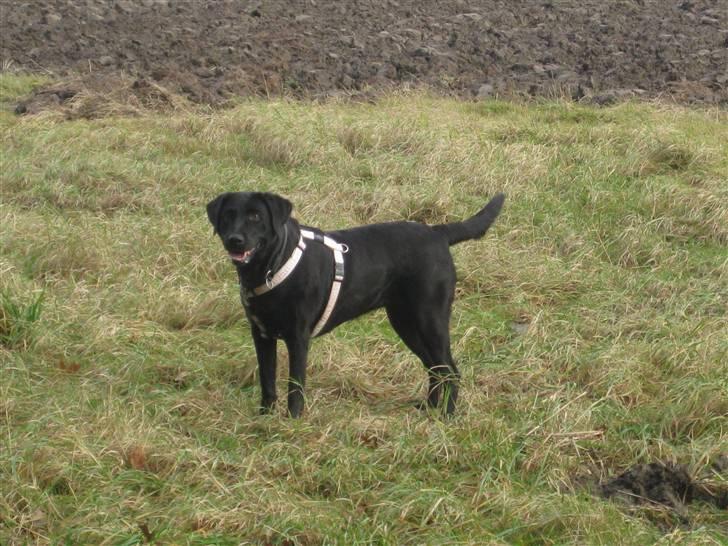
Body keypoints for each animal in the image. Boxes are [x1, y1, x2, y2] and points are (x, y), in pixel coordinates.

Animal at [208, 189, 504, 414]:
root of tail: (438, 233)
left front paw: (293, 422)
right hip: (406, 323)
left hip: (430, 320)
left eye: (255, 216)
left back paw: (446, 415)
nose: (235, 240)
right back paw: (429, 409)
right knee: (435, 368)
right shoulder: (261, 335)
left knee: (450, 370)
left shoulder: (297, 337)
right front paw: (265, 418)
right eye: (228, 215)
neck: (271, 267)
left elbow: (295, 386)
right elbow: (267, 380)